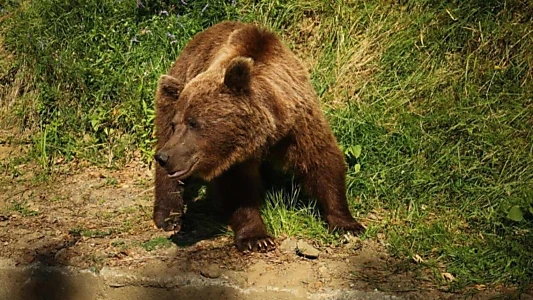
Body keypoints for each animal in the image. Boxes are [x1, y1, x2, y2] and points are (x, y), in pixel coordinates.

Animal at [152, 19, 364, 252]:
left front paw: (347, 224)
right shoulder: (234, 154)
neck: (268, 130)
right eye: (177, 124)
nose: (165, 157)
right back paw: (169, 216)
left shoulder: (299, 123)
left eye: (194, 123)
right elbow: (238, 188)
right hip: (174, 86)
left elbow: (322, 160)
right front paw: (256, 238)